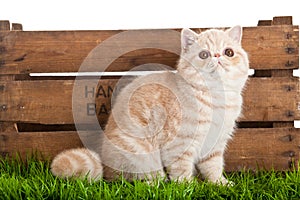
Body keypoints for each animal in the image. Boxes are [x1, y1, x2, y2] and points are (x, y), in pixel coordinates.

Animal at [51, 25, 248, 185]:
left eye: (229, 52)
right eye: (204, 54)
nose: (217, 56)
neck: (217, 97)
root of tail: (106, 167)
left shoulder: (215, 144)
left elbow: (213, 166)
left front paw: (220, 184)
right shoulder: (179, 144)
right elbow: (182, 170)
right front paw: (188, 187)